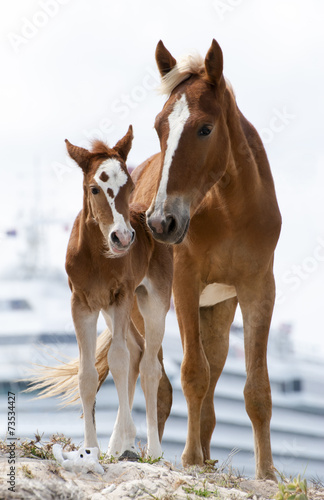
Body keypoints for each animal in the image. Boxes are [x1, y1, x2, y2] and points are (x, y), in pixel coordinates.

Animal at [132, 40, 280, 480]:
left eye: (205, 128)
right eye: (159, 127)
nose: (161, 222)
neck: (231, 209)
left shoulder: (258, 290)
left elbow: (256, 389)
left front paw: (267, 472)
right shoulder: (184, 284)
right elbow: (192, 375)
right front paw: (190, 460)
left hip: (217, 311)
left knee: (213, 375)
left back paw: (208, 454)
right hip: (146, 310)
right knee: (157, 382)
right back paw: (155, 452)